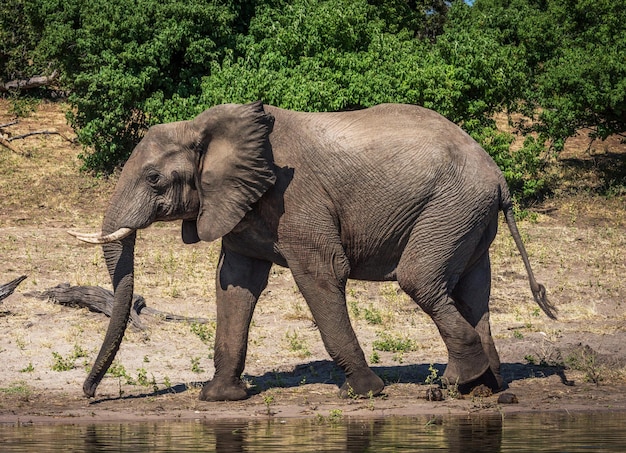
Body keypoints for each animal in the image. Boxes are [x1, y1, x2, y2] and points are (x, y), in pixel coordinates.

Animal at [70, 101, 552, 400]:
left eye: (154, 179)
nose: (90, 395)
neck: (206, 127)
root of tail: (500, 177)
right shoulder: (241, 204)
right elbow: (235, 284)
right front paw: (221, 398)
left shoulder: (295, 199)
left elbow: (321, 275)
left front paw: (362, 392)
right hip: (467, 216)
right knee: (473, 292)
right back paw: (483, 389)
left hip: (450, 208)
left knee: (420, 279)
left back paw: (453, 385)